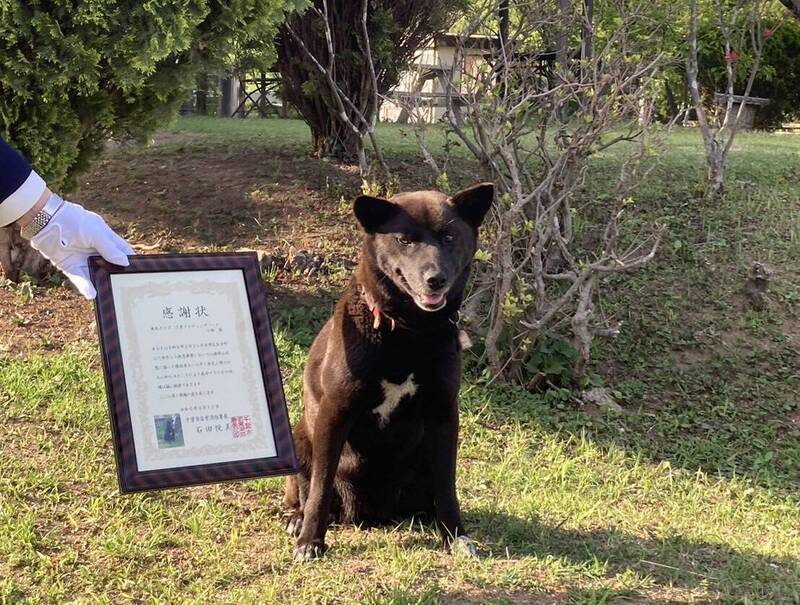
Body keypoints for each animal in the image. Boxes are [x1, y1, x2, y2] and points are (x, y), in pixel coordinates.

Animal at [282, 182, 494, 560]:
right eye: (405, 240)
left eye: (449, 236)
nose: (435, 279)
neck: (408, 332)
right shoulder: (335, 413)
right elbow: (320, 486)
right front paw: (310, 542)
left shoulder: (444, 413)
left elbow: (448, 486)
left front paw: (456, 537)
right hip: (300, 438)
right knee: (304, 490)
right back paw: (297, 518)